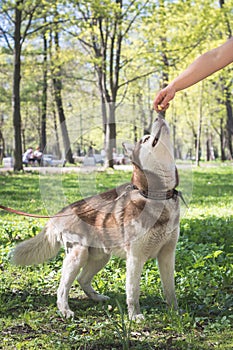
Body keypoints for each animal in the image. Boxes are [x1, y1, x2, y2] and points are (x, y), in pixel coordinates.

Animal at [11, 117, 180, 320]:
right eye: (146, 138)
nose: (158, 117)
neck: (158, 195)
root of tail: (59, 214)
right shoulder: (135, 257)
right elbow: (133, 292)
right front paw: (134, 316)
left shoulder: (167, 254)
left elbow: (170, 289)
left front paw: (175, 311)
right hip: (78, 255)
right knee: (62, 287)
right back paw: (65, 310)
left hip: (101, 256)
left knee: (82, 279)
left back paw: (96, 297)